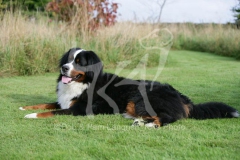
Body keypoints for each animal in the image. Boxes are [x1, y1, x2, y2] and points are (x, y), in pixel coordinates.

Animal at [19, 47, 239, 127]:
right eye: (68, 59)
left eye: (80, 62)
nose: (64, 68)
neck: (83, 83)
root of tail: (182, 97)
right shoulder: (65, 102)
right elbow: (47, 104)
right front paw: (25, 107)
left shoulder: (79, 109)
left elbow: (51, 112)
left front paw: (30, 116)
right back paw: (139, 122)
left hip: (140, 98)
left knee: (168, 118)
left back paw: (149, 124)